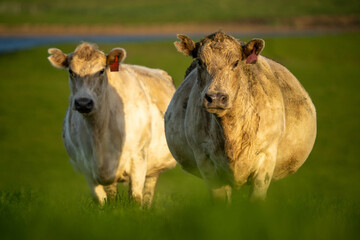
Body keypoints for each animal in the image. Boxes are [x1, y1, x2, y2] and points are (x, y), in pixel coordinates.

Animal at [47, 42, 177, 206]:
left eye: (101, 70)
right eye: (71, 71)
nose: (83, 103)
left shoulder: (138, 158)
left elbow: (135, 198)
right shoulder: (85, 167)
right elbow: (102, 200)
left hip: (153, 169)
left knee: (147, 194)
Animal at [165, 31, 316, 201]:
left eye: (236, 63)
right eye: (200, 62)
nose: (216, 97)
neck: (231, 134)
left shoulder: (266, 159)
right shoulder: (206, 163)